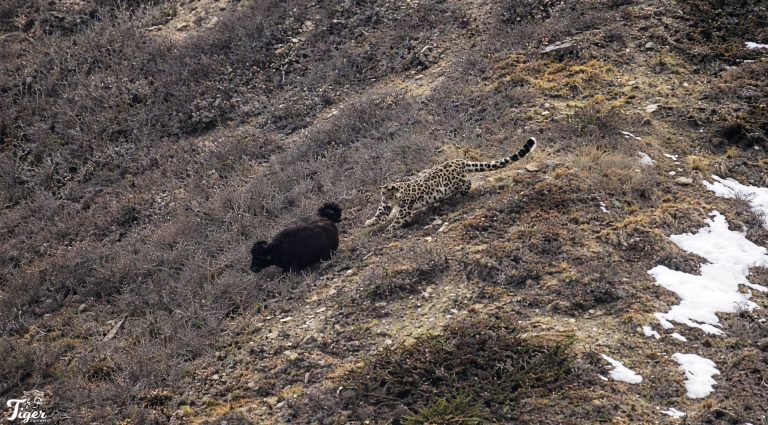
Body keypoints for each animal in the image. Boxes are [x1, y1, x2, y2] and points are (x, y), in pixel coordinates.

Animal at [365, 137, 537, 231]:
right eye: (384, 196)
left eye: (391, 195)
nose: (387, 200)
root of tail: (459, 161)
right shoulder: (384, 206)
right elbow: (379, 214)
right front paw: (370, 222)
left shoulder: (405, 210)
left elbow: (398, 220)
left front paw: (389, 230)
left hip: (455, 182)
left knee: (468, 183)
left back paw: (455, 196)